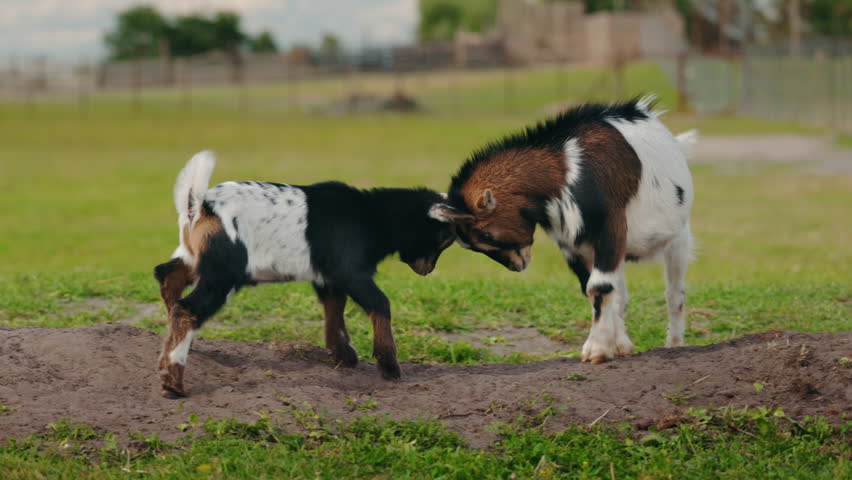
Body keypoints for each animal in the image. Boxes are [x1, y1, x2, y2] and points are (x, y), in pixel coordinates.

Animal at [154, 151, 470, 398]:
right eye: (444, 238)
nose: (427, 269)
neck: (370, 217)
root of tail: (200, 204)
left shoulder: (328, 276)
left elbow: (334, 309)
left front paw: (344, 356)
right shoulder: (351, 272)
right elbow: (380, 304)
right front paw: (389, 366)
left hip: (197, 257)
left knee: (168, 276)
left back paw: (182, 349)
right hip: (224, 272)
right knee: (186, 308)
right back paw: (173, 383)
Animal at [430, 97, 697, 364]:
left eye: (486, 235)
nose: (516, 265)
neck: (567, 172)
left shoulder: (611, 228)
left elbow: (599, 286)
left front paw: (596, 349)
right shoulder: (573, 246)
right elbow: (596, 288)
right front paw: (619, 345)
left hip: (679, 239)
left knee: (675, 294)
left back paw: (674, 343)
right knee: (622, 294)